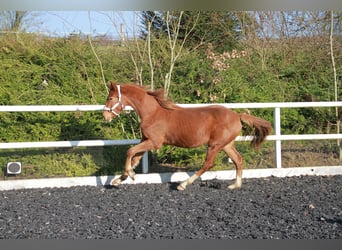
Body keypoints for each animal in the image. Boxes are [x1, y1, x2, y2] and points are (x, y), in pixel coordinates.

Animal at [102, 81, 272, 189]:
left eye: (110, 98)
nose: (105, 116)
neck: (153, 113)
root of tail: (237, 115)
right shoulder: (146, 140)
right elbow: (135, 158)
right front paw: (120, 179)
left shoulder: (155, 142)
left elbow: (129, 151)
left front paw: (130, 175)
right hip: (226, 144)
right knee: (238, 159)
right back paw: (235, 185)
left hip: (215, 145)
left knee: (208, 164)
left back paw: (183, 184)